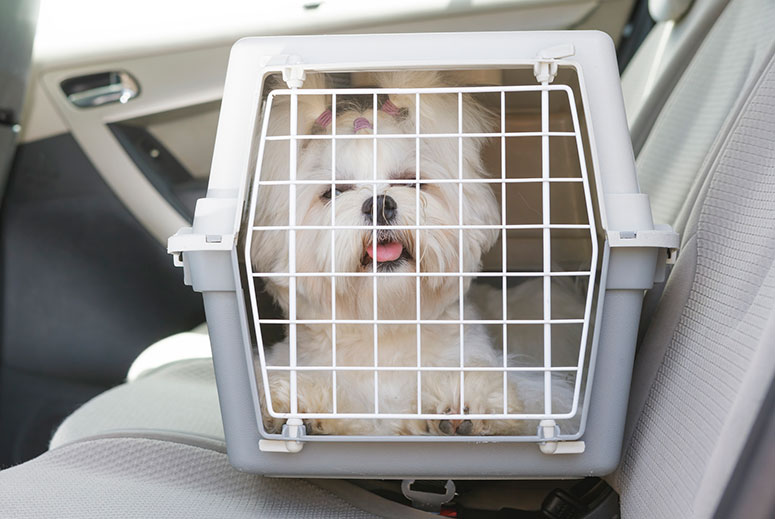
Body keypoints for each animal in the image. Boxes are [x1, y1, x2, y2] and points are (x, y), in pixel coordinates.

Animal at [252, 71, 572, 436]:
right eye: (332, 193)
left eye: (411, 182)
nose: (379, 204)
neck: (386, 325)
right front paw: (301, 404)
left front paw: (465, 401)